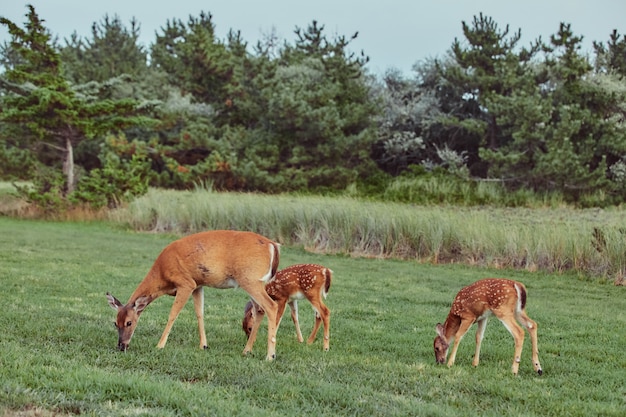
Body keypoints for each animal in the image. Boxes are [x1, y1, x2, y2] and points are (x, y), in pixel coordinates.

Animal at [107, 229, 280, 360]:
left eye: (129, 322)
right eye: (115, 323)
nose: (121, 346)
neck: (162, 275)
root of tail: (272, 245)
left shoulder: (186, 283)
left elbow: (173, 314)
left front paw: (160, 345)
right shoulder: (198, 285)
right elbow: (199, 313)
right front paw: (203, 345)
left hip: (250, 280)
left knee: (272, 306)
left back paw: (270, 356)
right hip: (253, 282)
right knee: (259, 310)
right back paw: (246, 350)